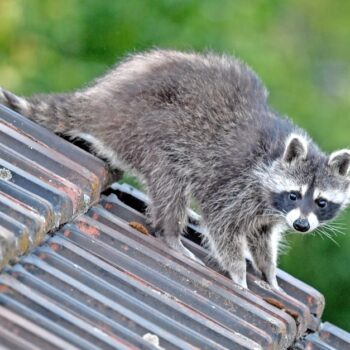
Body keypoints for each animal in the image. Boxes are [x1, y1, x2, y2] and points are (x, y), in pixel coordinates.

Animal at [0, 50, 350, 290]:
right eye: (294, 195)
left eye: (321, 202)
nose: (302, 225)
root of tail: (105, 99)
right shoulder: (238, 183)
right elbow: (222, 224)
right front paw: (238, 273)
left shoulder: (268, 212)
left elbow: (262, 238)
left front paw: (269, 272)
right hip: (152, 129)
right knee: (172, 181)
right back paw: (171, 235)